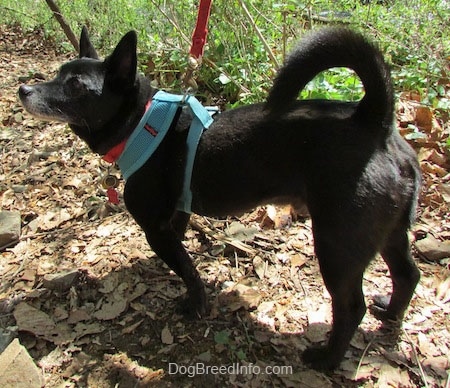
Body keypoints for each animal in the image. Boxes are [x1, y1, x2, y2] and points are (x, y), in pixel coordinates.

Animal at [19, 27, 420, 370]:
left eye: (74, 85)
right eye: (57, 74)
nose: (24, 88)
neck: (140, 122)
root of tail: (375, 121)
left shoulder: (155, 228)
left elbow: (187, 269)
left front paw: (195, 304)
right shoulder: (175, 217)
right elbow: (181, 252)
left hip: (337, 244)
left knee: (351, 307)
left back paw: (327, 359)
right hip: (389, 233)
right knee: (407, 274)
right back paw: (390, 314)